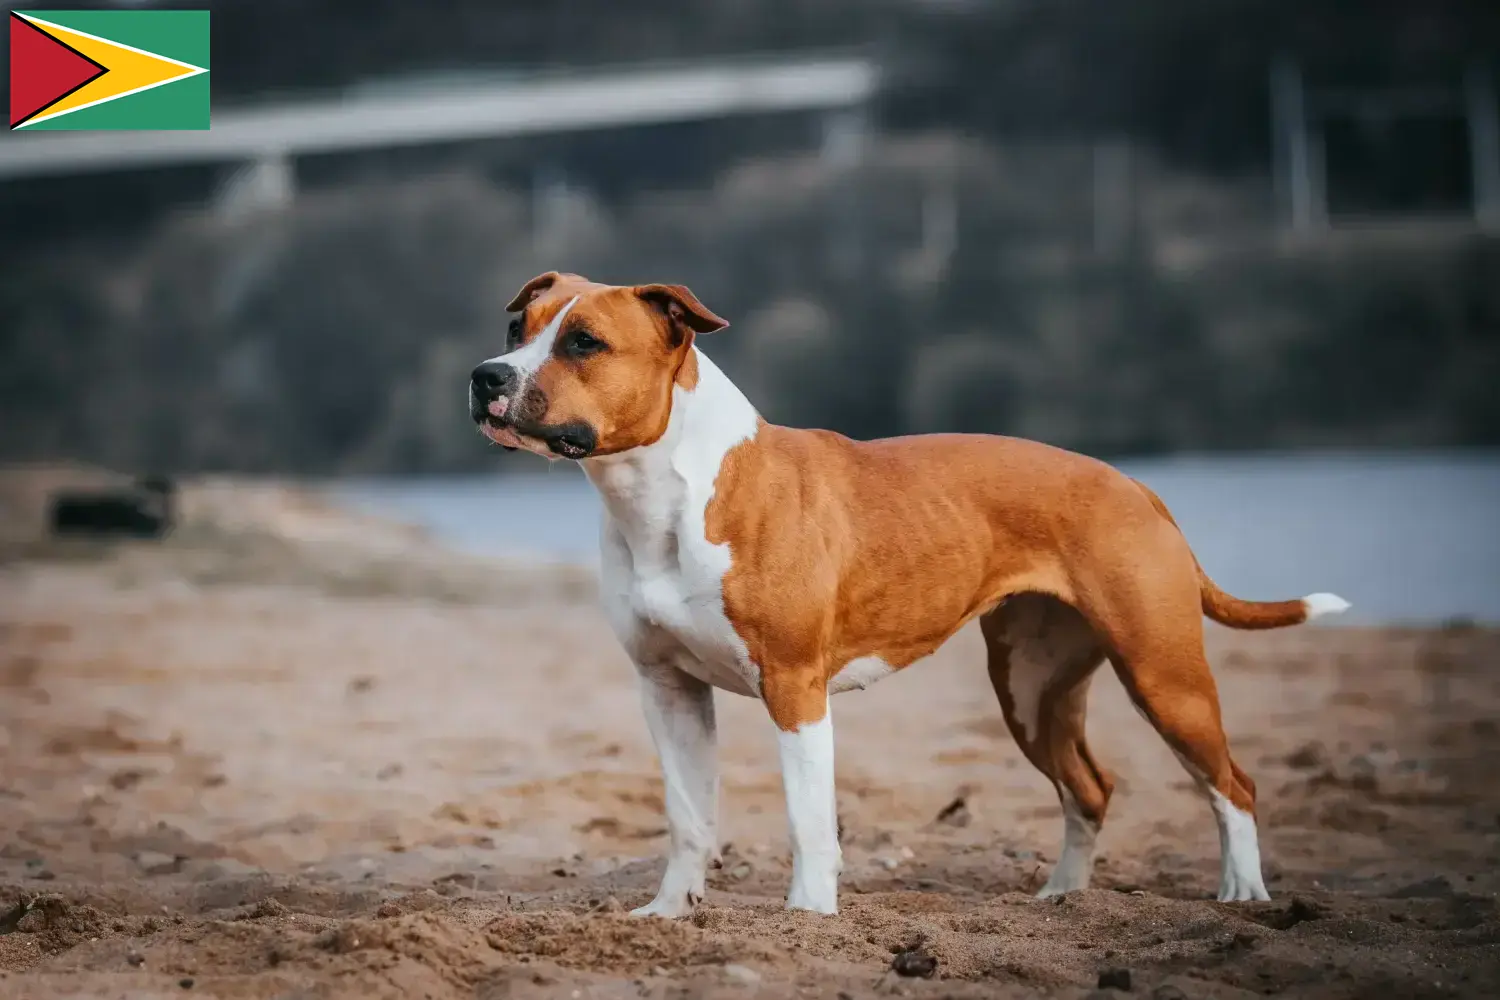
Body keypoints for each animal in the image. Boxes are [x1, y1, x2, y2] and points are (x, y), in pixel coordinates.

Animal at [465, 271, 1350, 917]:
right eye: (517, 330)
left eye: (584, 341)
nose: (485, 376)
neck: (664, 490)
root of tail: (1139, 486)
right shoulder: (668, 688)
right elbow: (688, 815)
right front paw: (669, 913)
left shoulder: (795, 690)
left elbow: (808, 819)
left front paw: (808, 916)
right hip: (1032, 689)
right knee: (1088, 787)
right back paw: (1062, 898)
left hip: (1163, 674)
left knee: (1231, 785)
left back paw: (1244, 892)